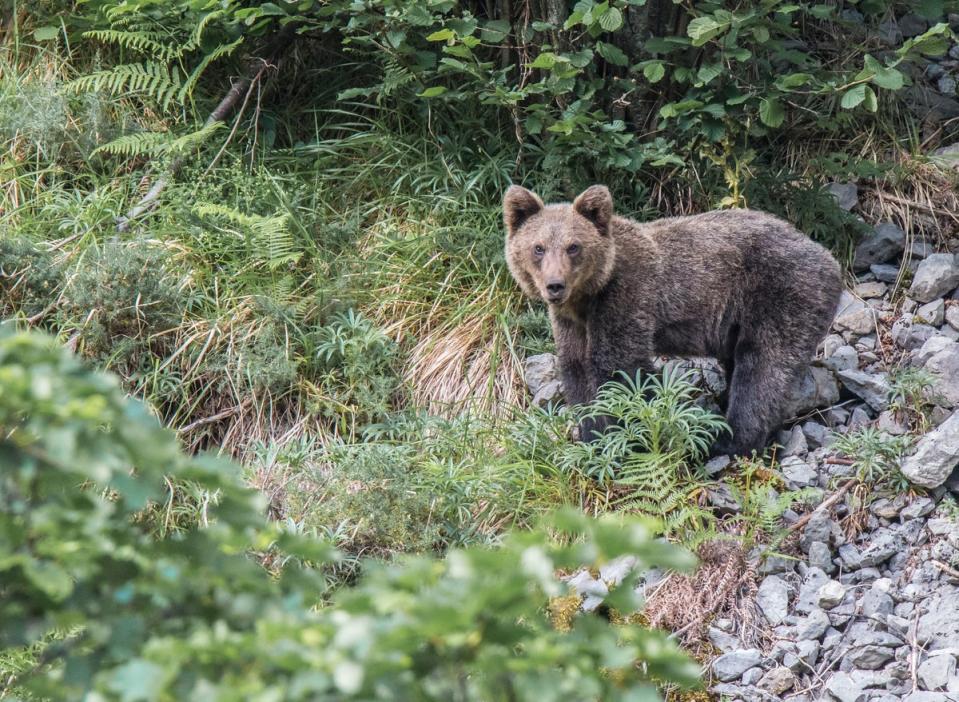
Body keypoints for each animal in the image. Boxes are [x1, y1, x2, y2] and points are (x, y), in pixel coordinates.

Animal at [502, 184, 840, 460]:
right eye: (538, 247)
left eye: (573, 246)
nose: (555, 286)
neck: (587, 298)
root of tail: (829, 258)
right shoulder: (571, 322)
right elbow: (576, 370)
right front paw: (591, 437)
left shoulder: (626, 297)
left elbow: (619, 366)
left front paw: (624, 439)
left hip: (780, 292)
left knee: (763, 367)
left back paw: (727, 439)